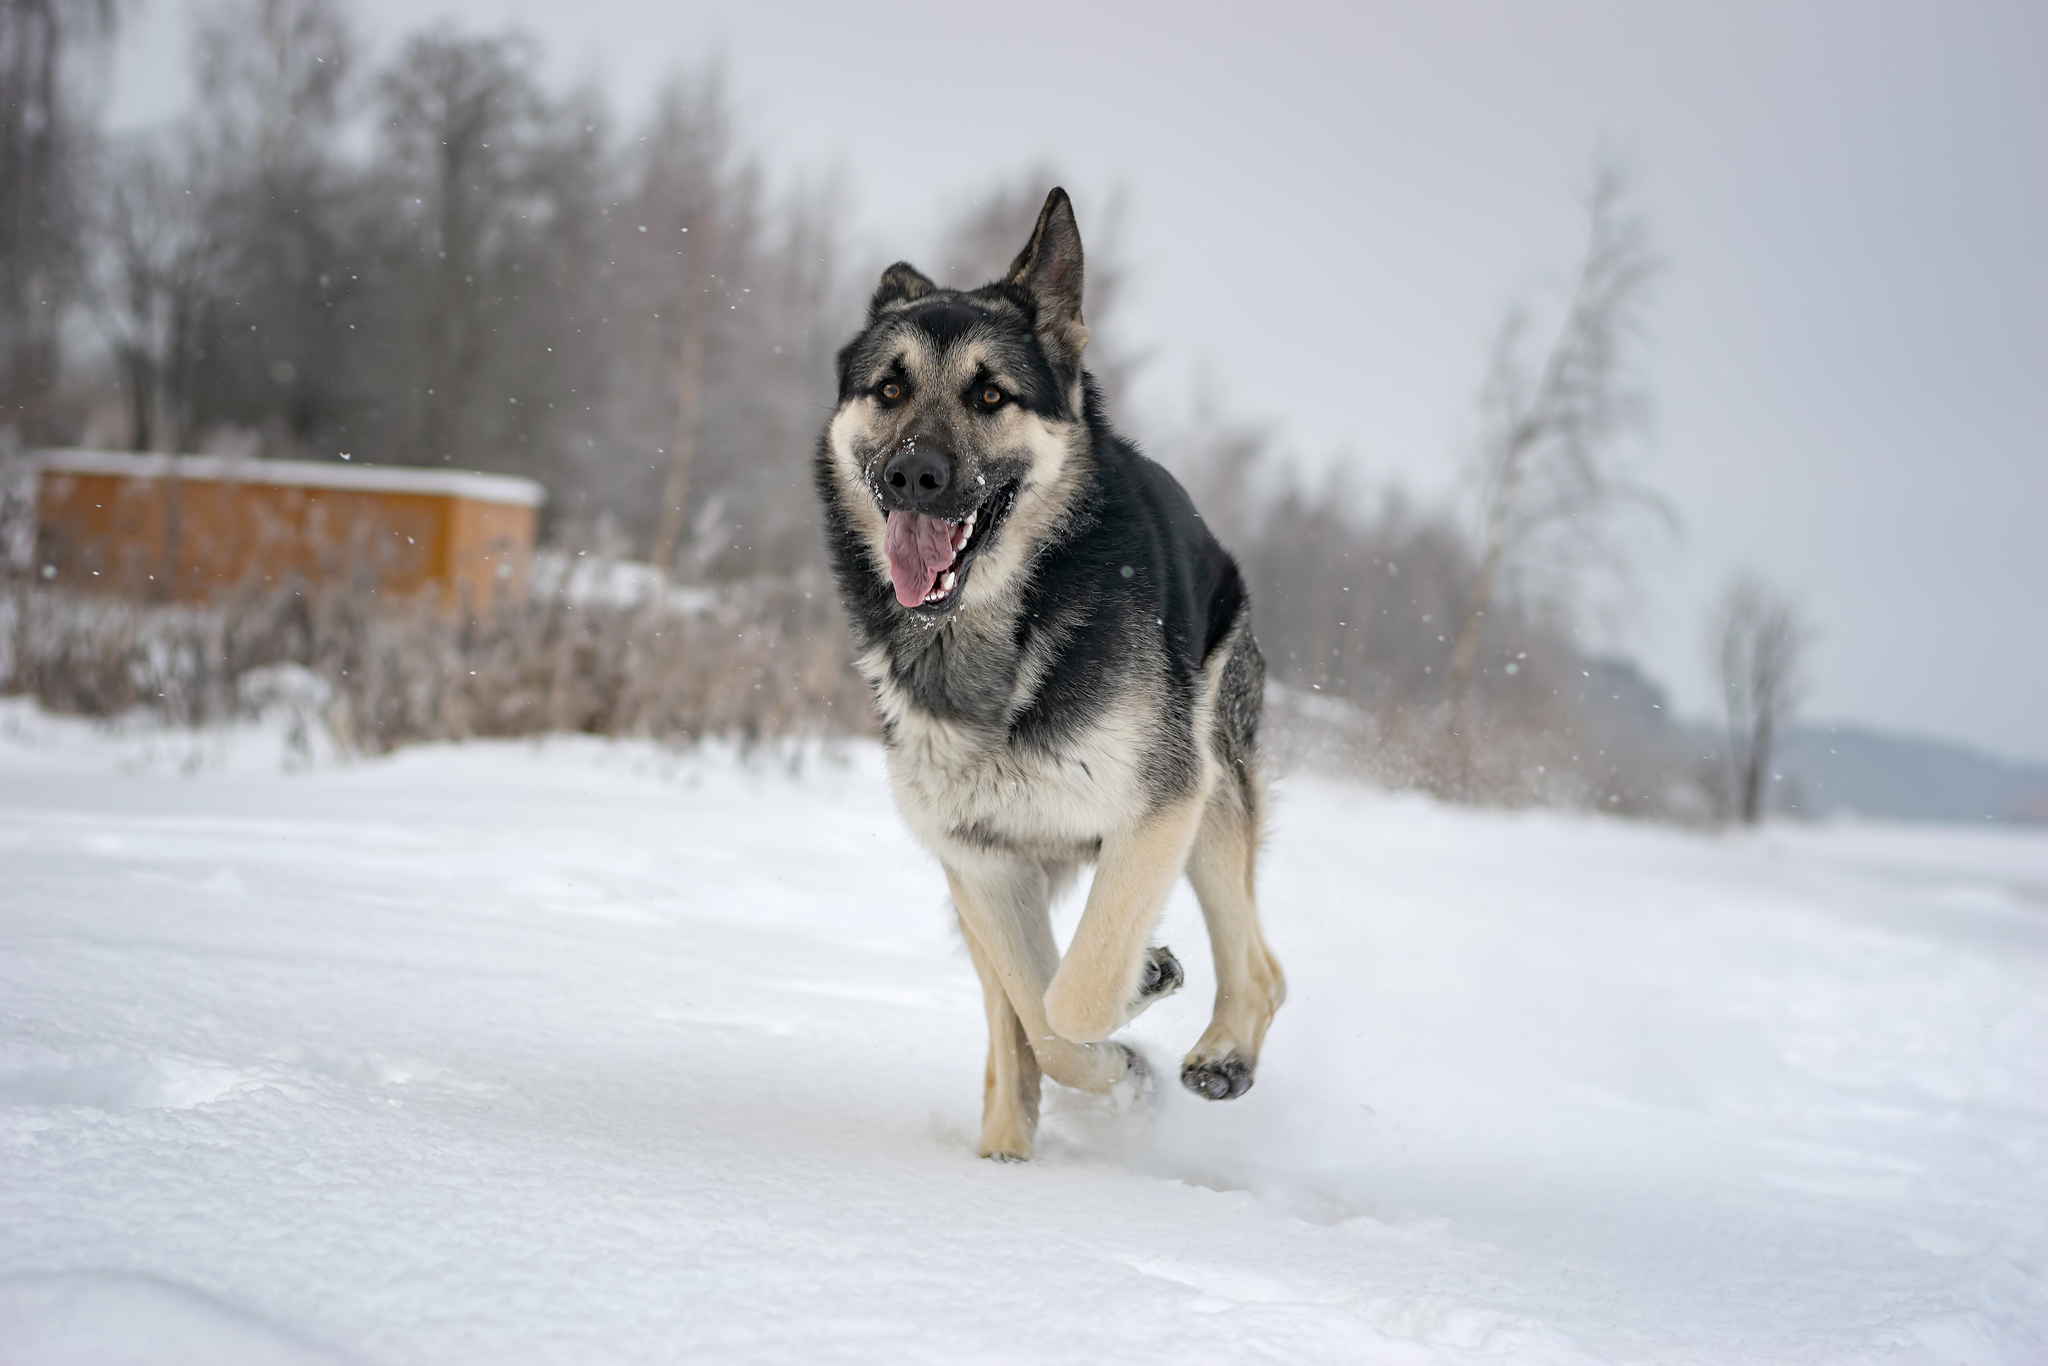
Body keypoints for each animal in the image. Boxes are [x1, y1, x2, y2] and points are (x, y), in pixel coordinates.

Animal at [811, 187, 1277, 1163]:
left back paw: (1223, 1051)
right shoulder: (980, 861)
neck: (992, 639)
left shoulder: (1157, 811)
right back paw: (1004, 1147)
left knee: (1260, 966)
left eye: (991, 394)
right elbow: (1037, 1013)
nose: (913, 475)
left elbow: (1076, 995)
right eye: (890, 389)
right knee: (1008, 1018)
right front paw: (1112, 1070)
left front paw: (1133, 1009)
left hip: (1211, 792)